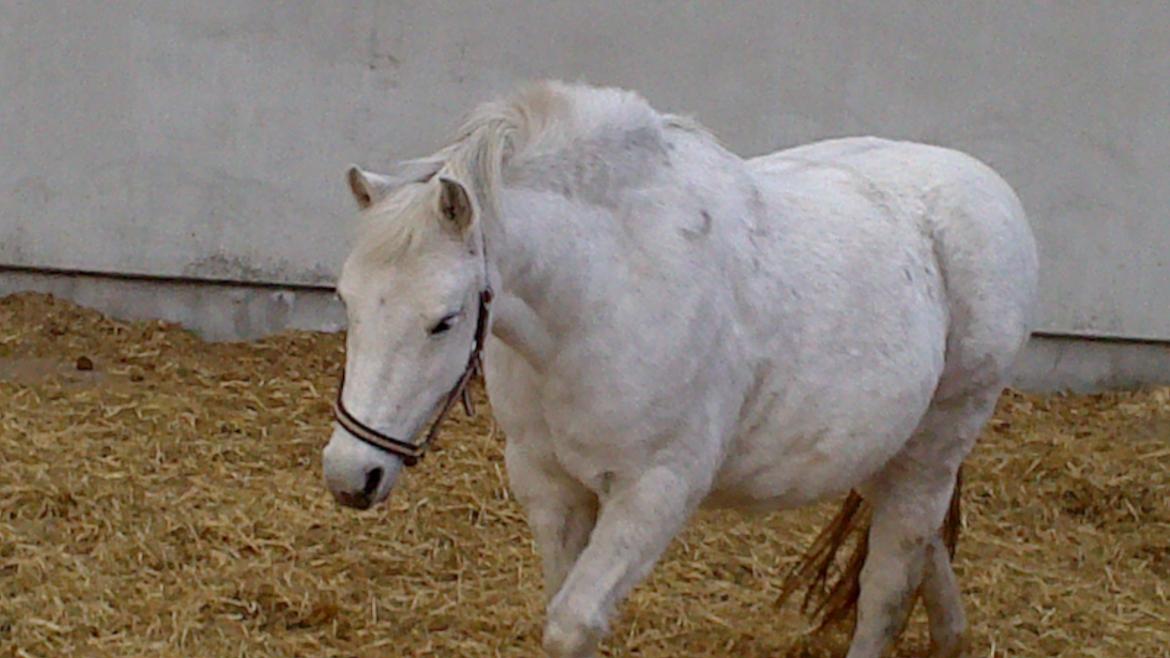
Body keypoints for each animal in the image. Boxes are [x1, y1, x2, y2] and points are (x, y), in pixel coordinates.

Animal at [321, 81, 1038, 658]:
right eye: (347, 300)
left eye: (444, 320)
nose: (350, 475)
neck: (601, 292)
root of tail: (989, 190)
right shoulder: (549, 483)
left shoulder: (654, 490)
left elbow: (572, 623)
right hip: (891, 450)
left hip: (939, 441)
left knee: (888, 585)